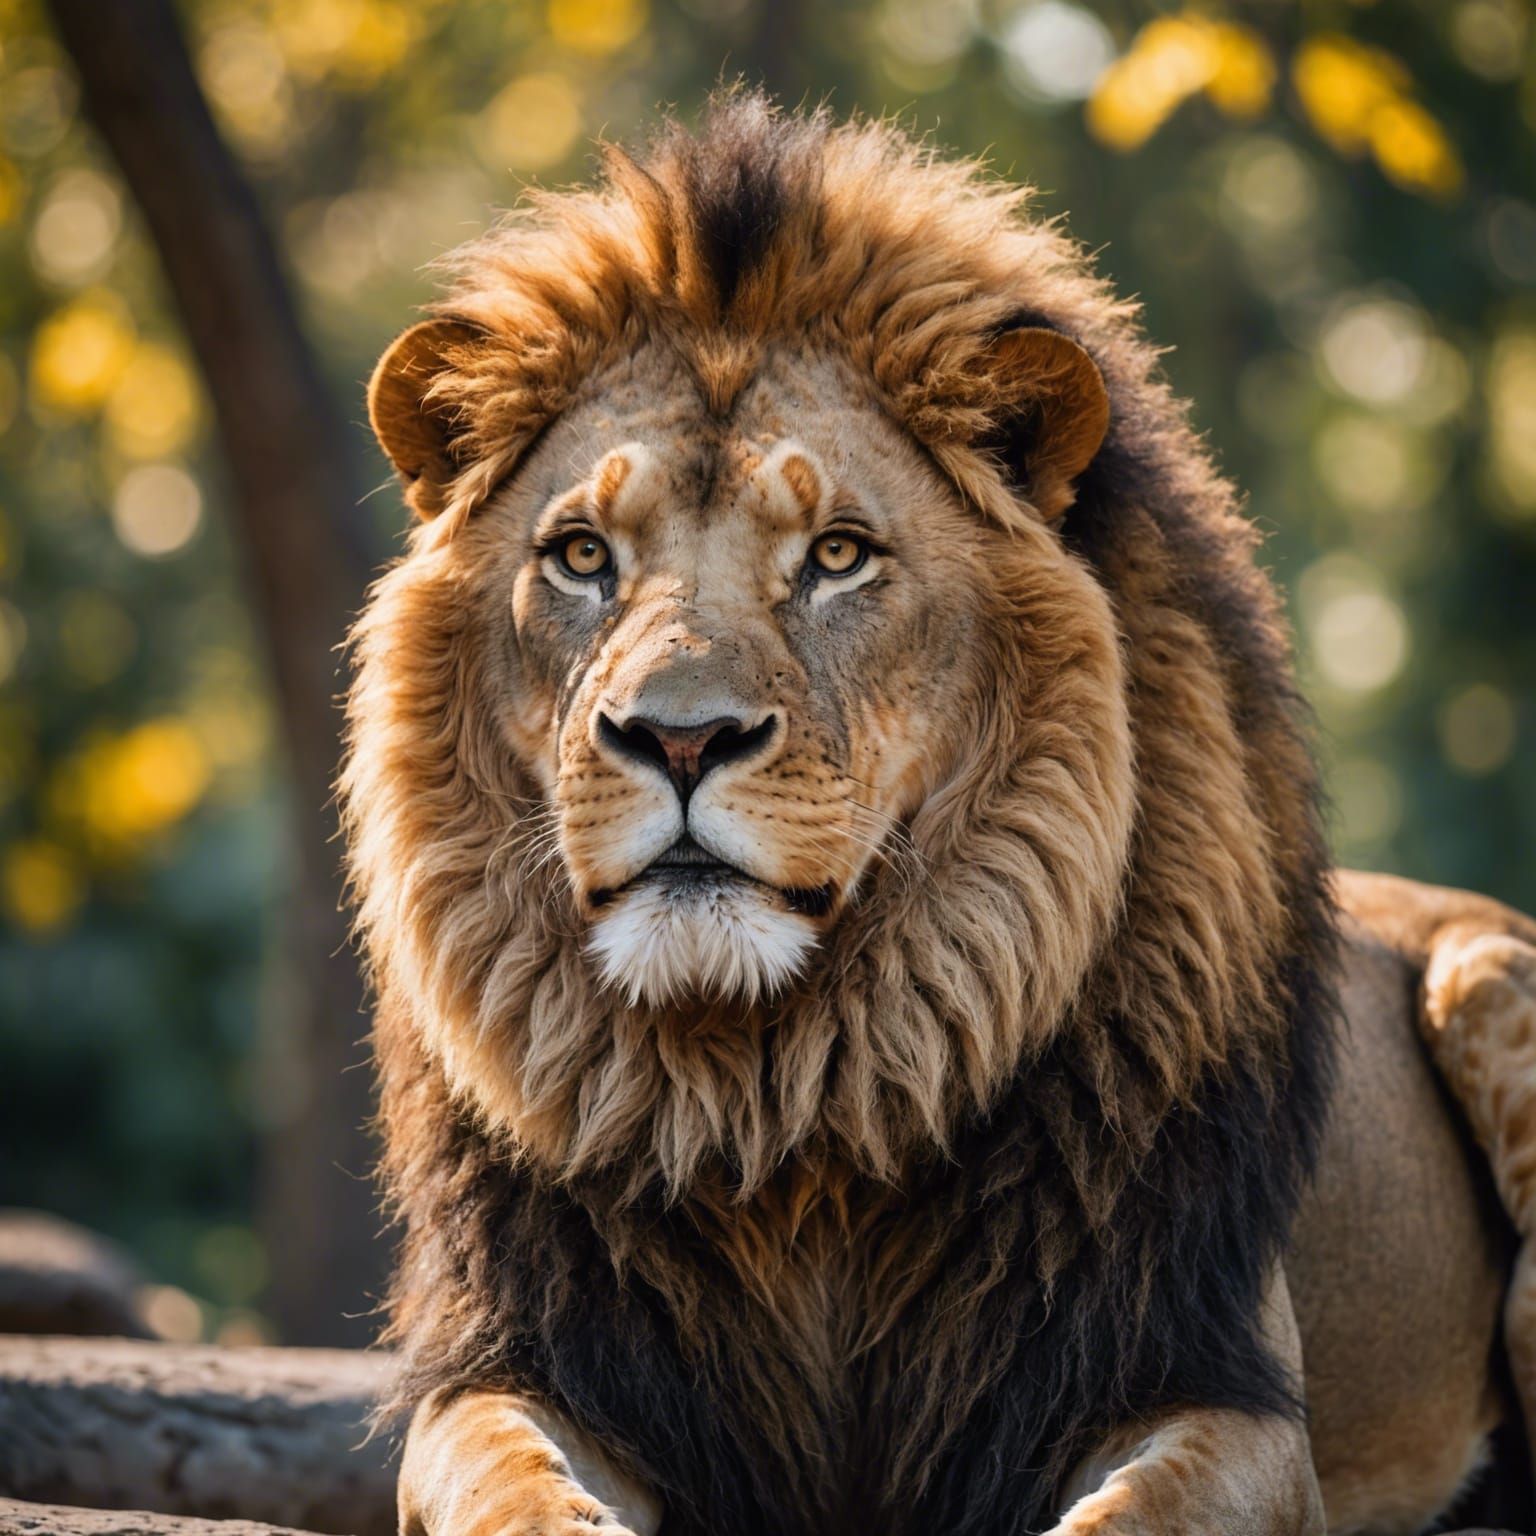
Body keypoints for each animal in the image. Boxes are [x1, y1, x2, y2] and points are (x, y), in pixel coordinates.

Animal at [342, 94, 1536, 1536]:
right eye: (581, 556)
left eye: (838, 554)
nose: (679, 736)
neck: (785, 1102)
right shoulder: (519, 1365)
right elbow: (511, 1487)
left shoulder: (1213, 1382)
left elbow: (1130, 1516)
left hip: (1491, 989)